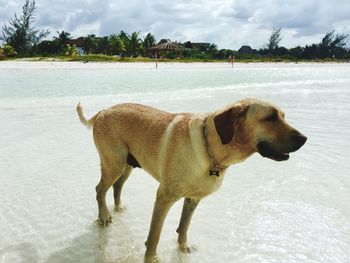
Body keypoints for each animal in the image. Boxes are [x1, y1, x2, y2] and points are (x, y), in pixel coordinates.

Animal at [76, 99, 306, 262]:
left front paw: (183, 246)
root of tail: (103, 111)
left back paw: (117, 207)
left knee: (117, 186)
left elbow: (184, 225)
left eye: (282, 116)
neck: (212, 149)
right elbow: (155, 235)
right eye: (270, 118)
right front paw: (151, 258)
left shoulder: (193, 198)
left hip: (127, 165)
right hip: (113, 164)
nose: (304, 139)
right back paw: (104, 216)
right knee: (99, 189)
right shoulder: (164, 197)